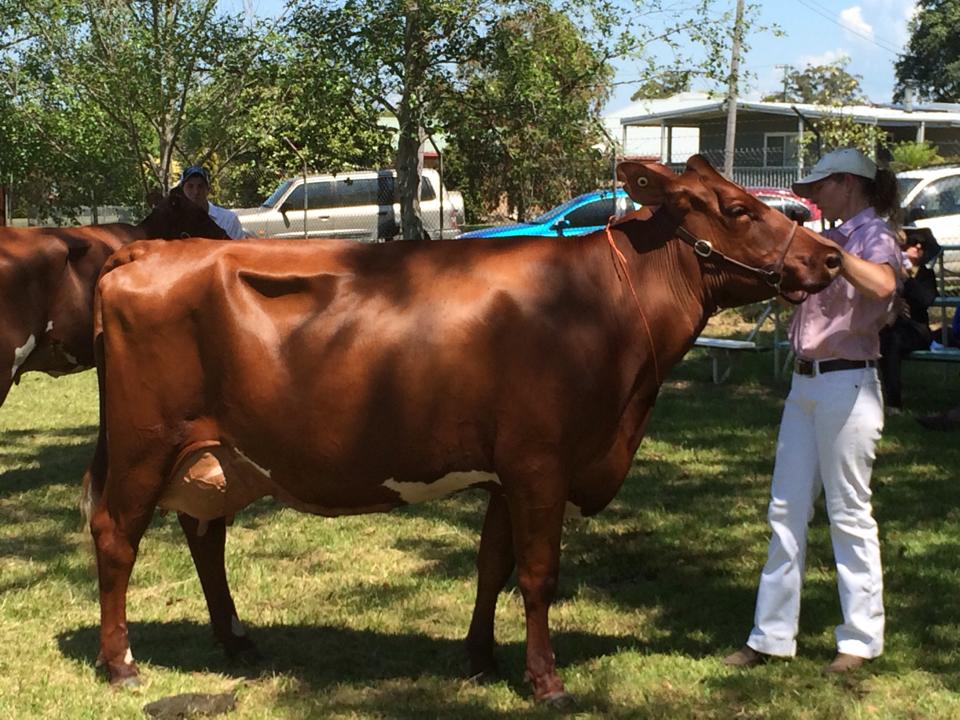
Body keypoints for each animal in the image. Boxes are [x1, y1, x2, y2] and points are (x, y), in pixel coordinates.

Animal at [86, 158, 840, 704]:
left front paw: (481, 658)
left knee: (203, 536)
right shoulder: (542, 463)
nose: (829, 256)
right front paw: (546, 679)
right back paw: (120, 663)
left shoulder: (510, 471)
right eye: (738, 209)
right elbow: (538, 574)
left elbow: (491, 565)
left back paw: (236, 639)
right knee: (117, 537)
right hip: (143, 444)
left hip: (217, 454)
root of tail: (145, 252)